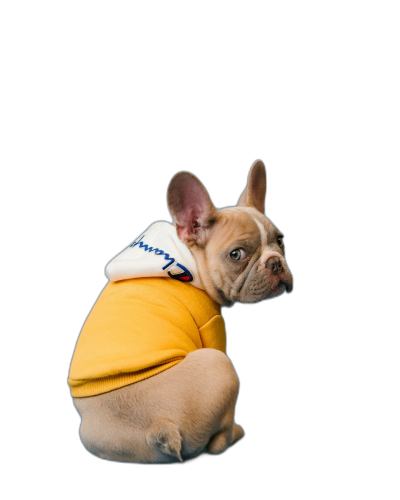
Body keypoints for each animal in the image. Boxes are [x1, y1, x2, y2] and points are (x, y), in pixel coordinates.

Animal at [69, 161, 294, 464]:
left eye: (280, 241)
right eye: (237, 255)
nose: (275, 262)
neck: (189, 259)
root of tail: (160, 426)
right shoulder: (211, 325)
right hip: (219, 365)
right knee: (217, 441)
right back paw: (235, 433)